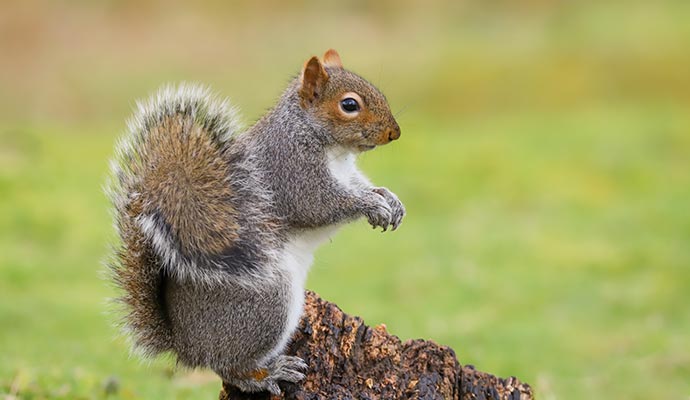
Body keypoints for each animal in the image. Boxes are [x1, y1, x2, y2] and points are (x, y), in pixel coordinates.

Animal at [106, 49, 404, 395]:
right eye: (349, 105)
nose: (394, 133)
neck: (330, 147)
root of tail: (185, 346)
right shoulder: (291, 170)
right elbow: (319, 205)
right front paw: (371, 204)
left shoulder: (348, 174)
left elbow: (362, 185)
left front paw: (389, 199)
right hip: (266, 303)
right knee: (229, 367)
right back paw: (268, 374)